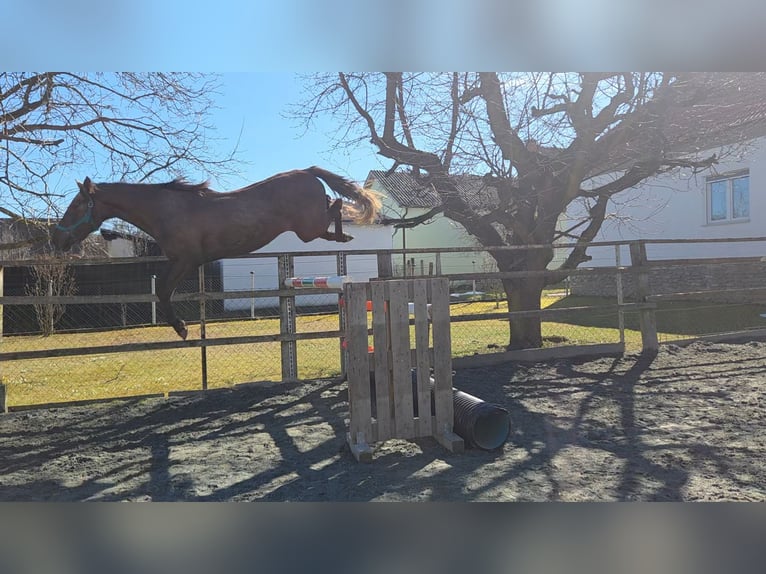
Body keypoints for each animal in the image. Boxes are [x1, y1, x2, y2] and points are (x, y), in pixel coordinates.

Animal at [51, 166, 382, 339]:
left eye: (76, 206)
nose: (57, 239)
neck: (165, 210)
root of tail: (306, 171)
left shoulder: (185, 260)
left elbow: (163, 292)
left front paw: (181, 329)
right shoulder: (181, 262)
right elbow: (162, 291)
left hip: (307, 229)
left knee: (335, 205)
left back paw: (346, 232)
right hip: (308, 229)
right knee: (333, 207)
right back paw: (344, 233)